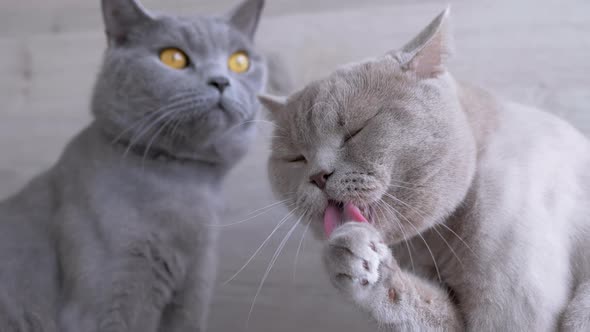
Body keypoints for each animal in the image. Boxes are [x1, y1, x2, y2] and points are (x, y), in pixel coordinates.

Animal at [0, 0, 268, 330]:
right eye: (173, 58)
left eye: (240, 61)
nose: (220, 80)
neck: (187, 187)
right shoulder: (105, 303)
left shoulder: (193, 293)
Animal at [260, 9, 590, 330]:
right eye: (295, 158)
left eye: (355, 130)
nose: (318, 175)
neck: (434, 242)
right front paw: (361, 264)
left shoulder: (513, 309)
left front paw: (355, 252)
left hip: (580, 307)